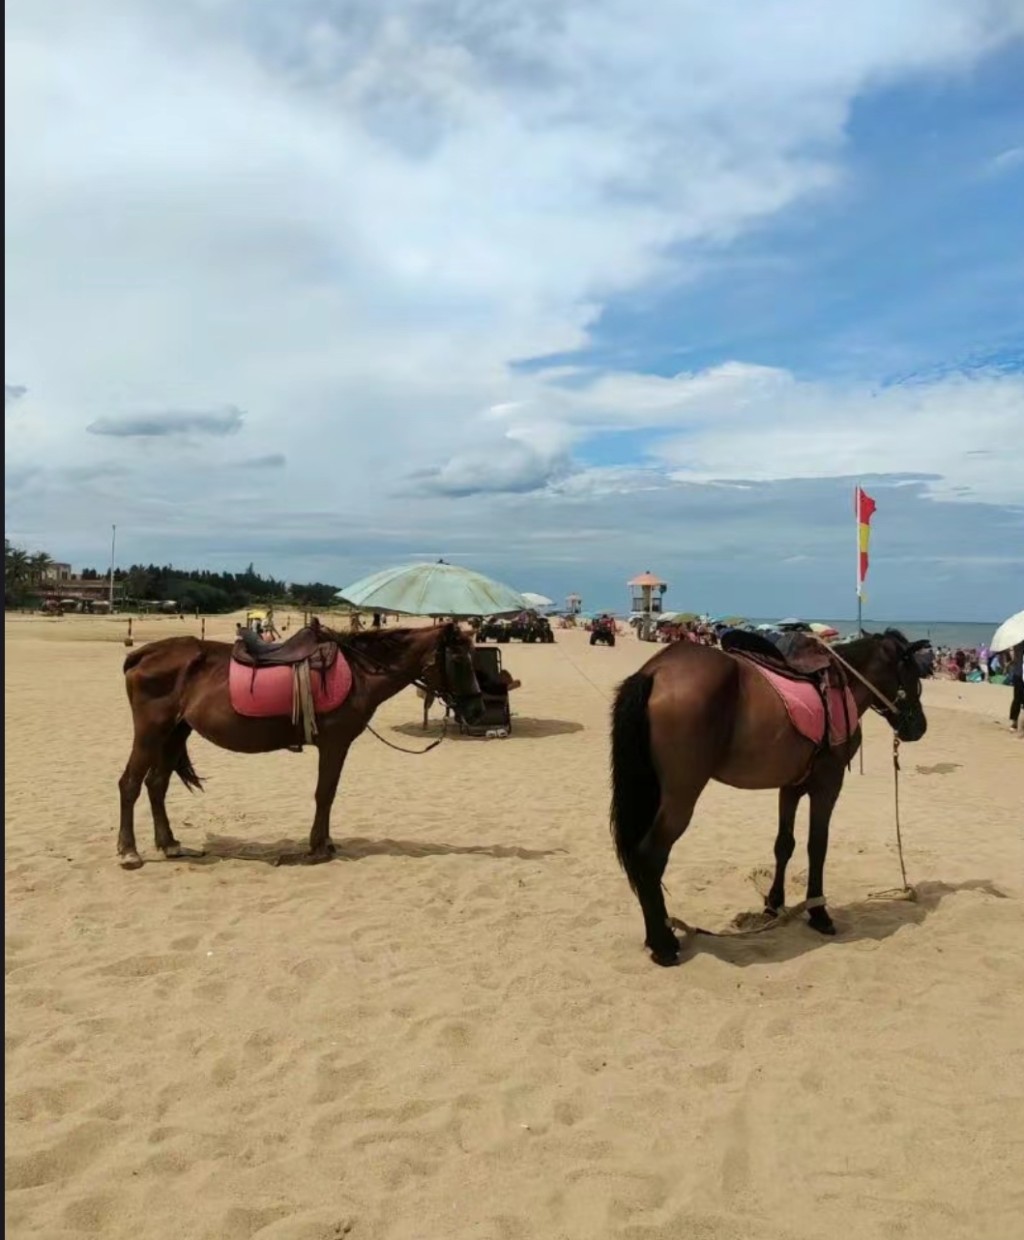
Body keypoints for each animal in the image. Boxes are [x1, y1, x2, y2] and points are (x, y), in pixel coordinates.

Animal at [115, 620, 483, 872]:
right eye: (459, 659)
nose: (478, 710)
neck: (359, 672)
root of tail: (142, 654)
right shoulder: (334, 745)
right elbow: (325, 793)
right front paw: (318, 848)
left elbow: (328, 794)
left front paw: (325, 843)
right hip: (151, 732)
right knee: (130, 784)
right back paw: (129, 851)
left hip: (175, 733)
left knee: (156, 784)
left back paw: (169, 844)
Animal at [609, 629, 927, 967]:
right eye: (913, 674)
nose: (919, 726)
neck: (844, 685)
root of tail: (656, 671)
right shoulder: (828, 784)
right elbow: (817, 846)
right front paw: (818, 912)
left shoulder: (790, 786)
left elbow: (784, 844)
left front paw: (774, 904)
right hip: (680, 798)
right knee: (650, 855)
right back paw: (663, 945)